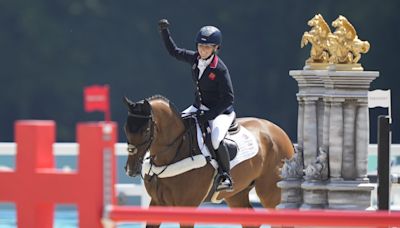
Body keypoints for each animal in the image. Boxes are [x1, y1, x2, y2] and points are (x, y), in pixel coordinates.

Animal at [123, 95, 296, 225]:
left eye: (146, 131)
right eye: (126, 129)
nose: (131, 169)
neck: (171, 157)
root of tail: (279, 131)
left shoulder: (187, 206)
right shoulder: (157, 203)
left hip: (270, 193)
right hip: (236, 195)